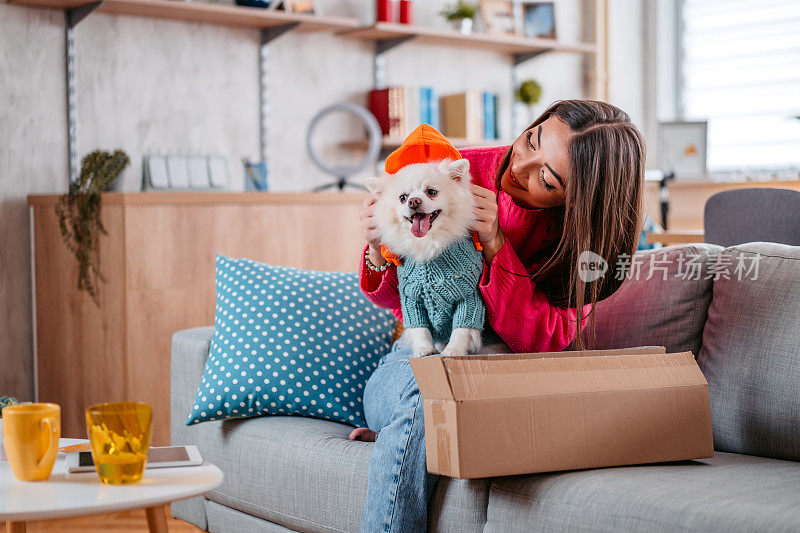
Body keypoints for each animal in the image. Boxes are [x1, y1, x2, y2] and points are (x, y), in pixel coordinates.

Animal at [366, 158, 484, 358]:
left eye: (431, 192)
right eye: (402, 197)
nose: (413, 201)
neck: (428, 242)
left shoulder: (468, 296)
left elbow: (461, 328)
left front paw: (453, 351)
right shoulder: (411, 299)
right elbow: (419, 327)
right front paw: (424, 349)